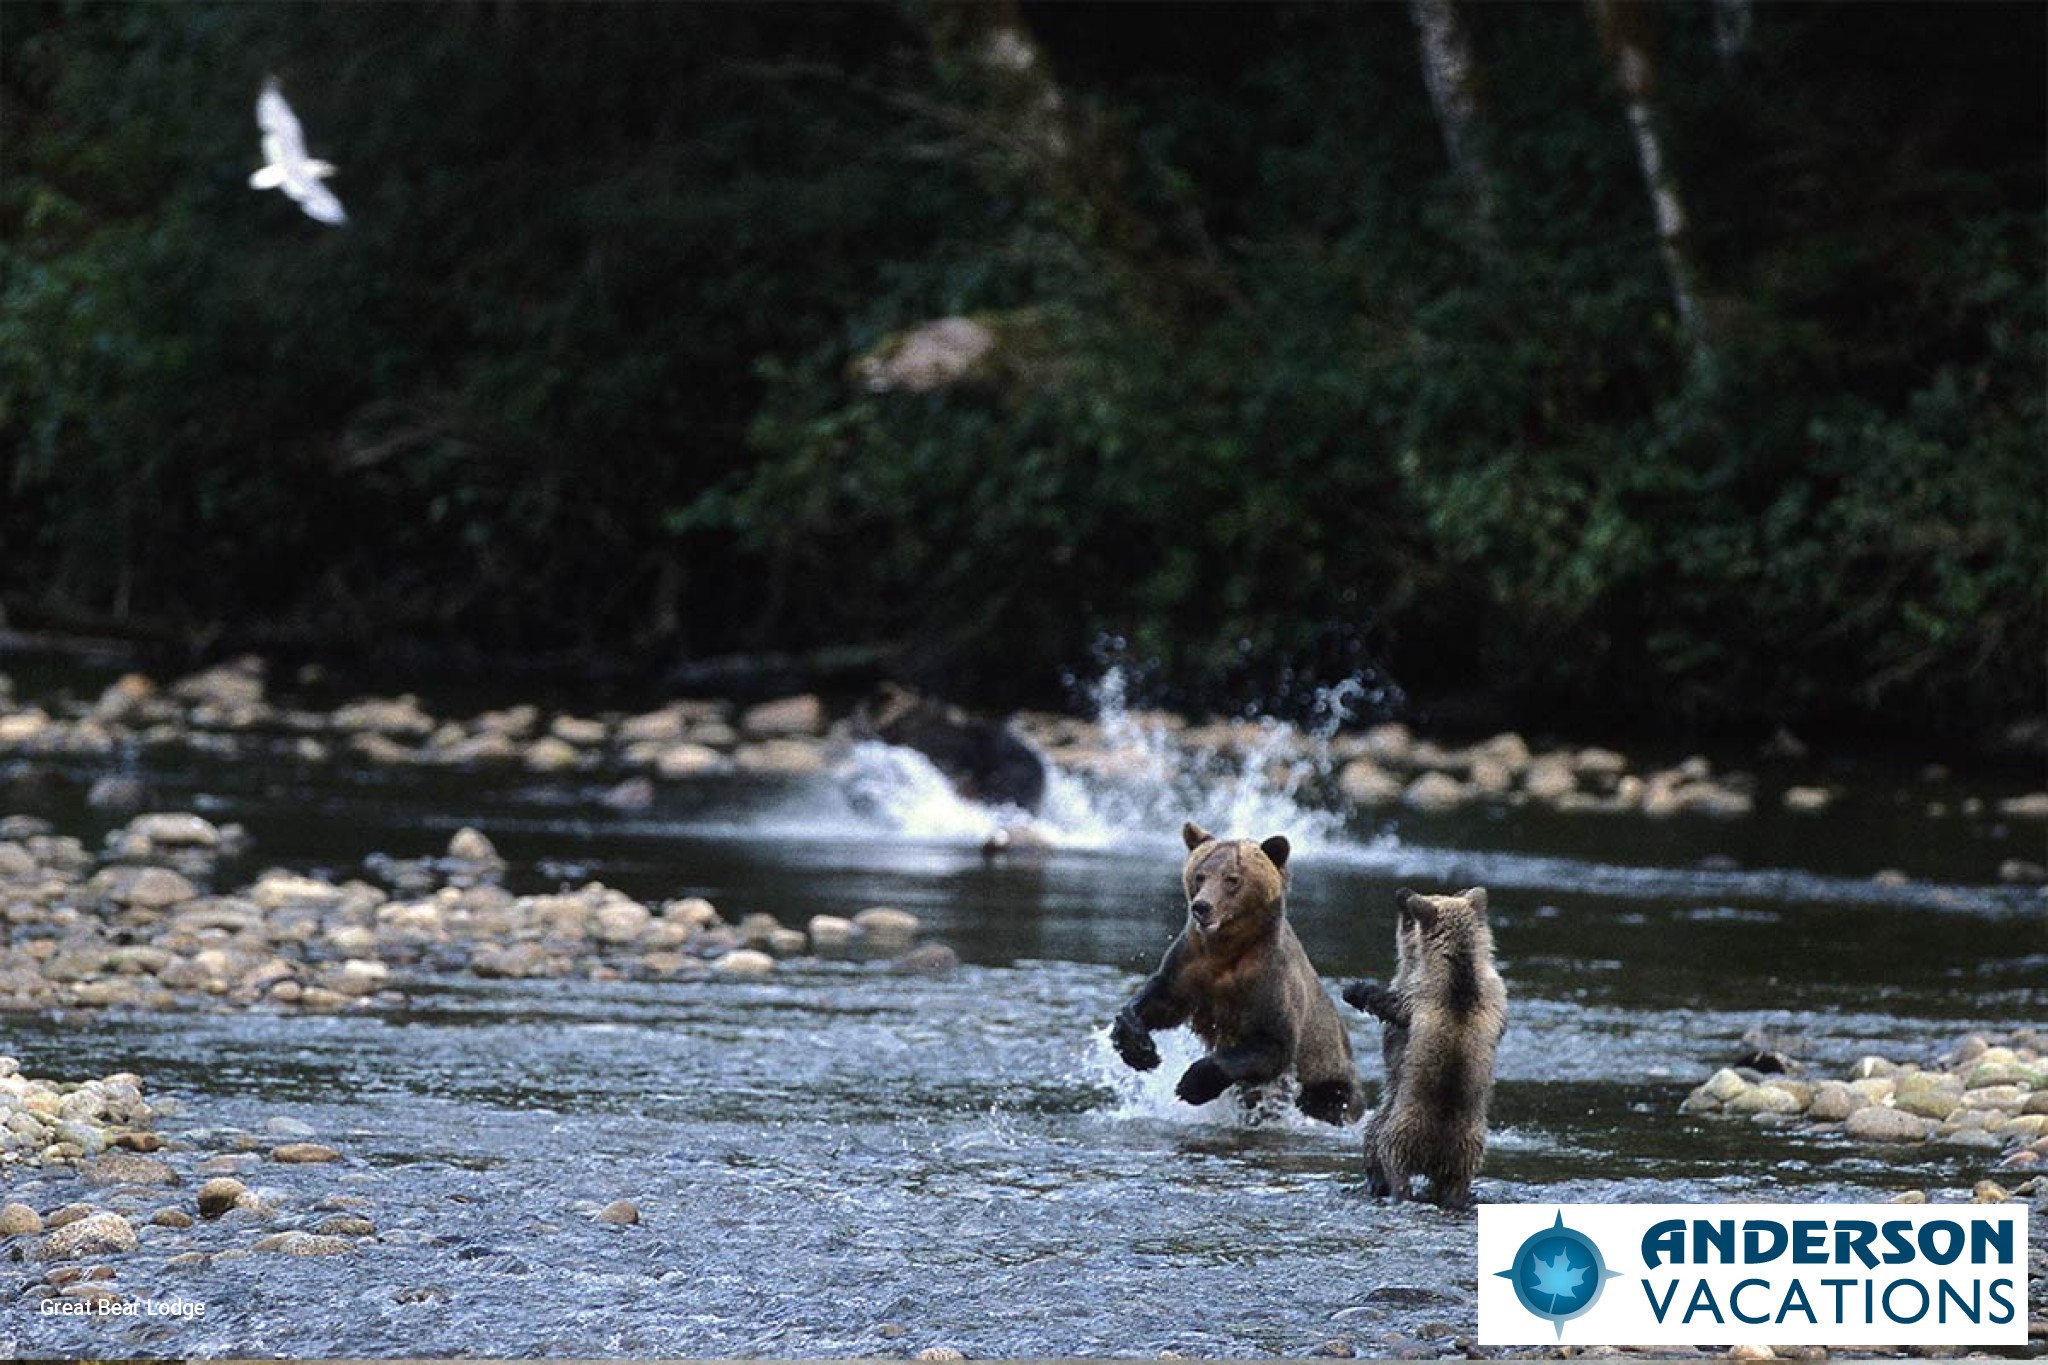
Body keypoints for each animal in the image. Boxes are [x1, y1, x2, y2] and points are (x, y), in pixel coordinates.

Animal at [1114, 822, 1368, 1121]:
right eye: (1200, 875)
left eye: (1232, 879)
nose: (1201, 907)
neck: (1227, 949)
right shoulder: (1190, 964)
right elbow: (1161, 999)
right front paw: (1141, 1050)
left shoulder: (1269, 979)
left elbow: (1273, 1044)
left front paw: (1192, 1082)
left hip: (1330, 1079)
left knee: (1328, 1100)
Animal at [1343, 892, 1507, 1211]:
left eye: (1408, 917)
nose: (1403, 893)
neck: (1460, 967)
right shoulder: (1495, 997)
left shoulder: (1416, 994)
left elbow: (1392, 1005)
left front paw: (1356, 990)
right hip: (1468, 1146)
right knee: (1456, 1179)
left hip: (1397, 1128)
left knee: (1384, 1155)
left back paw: (1385, 1187)